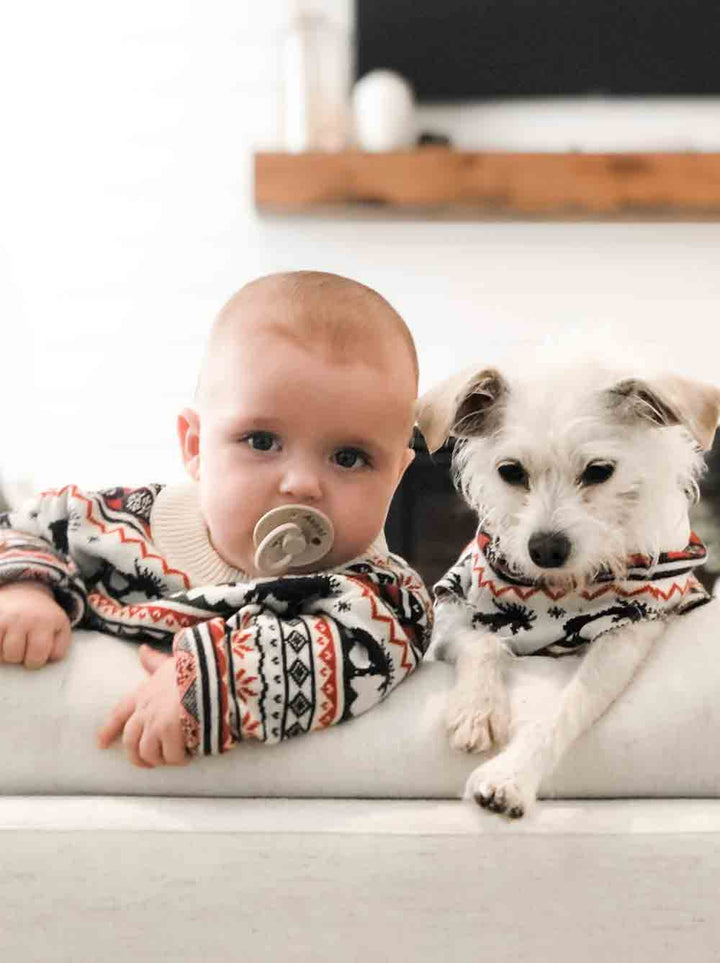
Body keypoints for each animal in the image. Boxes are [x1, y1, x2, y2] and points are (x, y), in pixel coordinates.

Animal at [416, 366, 720, 816]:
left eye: (599, 471)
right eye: (510, 472)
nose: (544, 549)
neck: (558, 594)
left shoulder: (625, 636)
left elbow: (568, 706)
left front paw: (509, 777)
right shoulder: (451, 616)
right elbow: (483, 643)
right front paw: (477, 710)